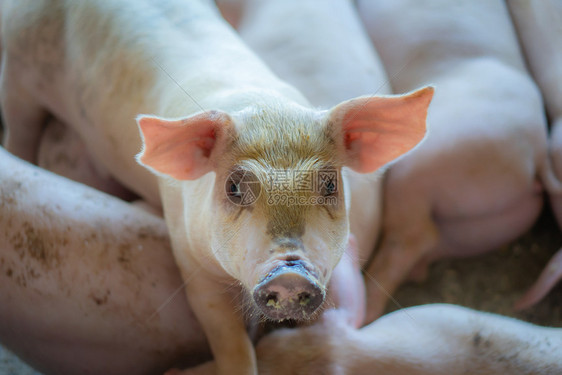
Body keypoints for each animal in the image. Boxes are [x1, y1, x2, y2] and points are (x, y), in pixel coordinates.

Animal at [0, 0, 430, 374]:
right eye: (234, 188)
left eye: (327, 184)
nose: (290, 272)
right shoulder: (188, 258)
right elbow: (225, 333)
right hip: (18, 67)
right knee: (19, 125)